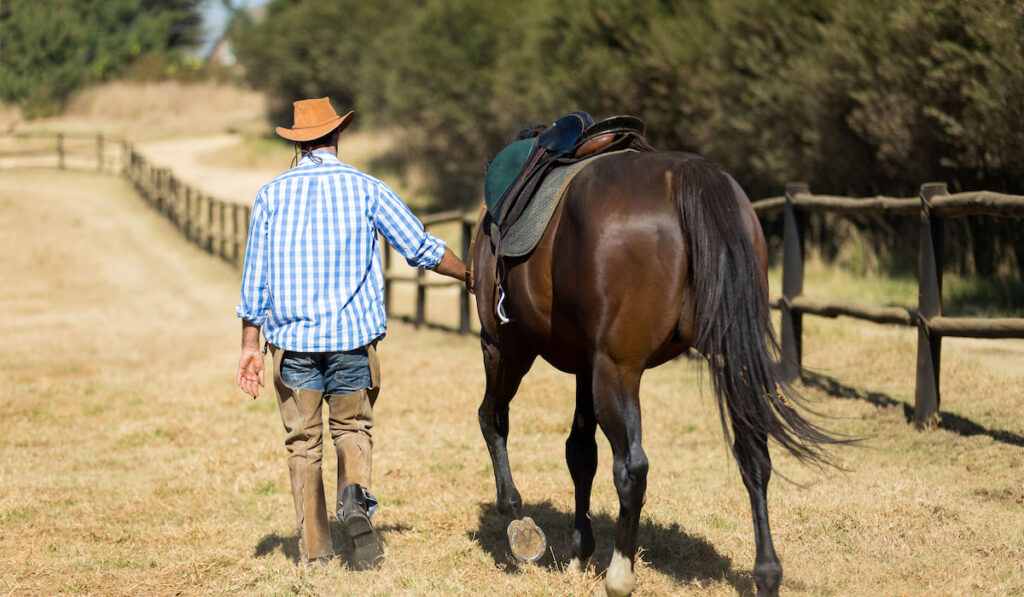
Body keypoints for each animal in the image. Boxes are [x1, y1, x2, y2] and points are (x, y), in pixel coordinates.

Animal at [471, 147, 839, 593]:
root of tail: (685, 175)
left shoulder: (507, 347)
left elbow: (497, 421)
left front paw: (518, 521)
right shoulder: (585, 365)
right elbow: (580, 452)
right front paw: (579, 550)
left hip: (606, 368)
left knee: (630, 467)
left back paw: (619, 575)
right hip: (730, 362)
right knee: (755, 456)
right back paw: (767, 574)